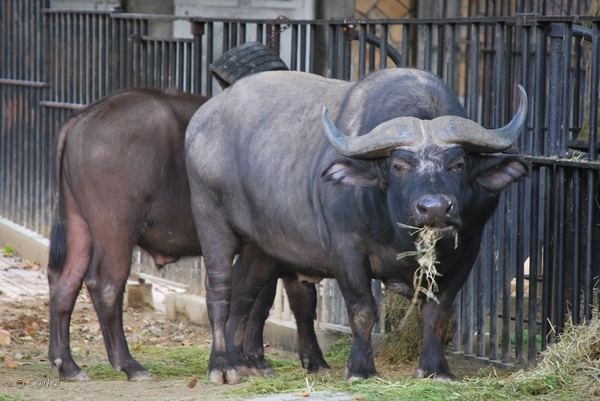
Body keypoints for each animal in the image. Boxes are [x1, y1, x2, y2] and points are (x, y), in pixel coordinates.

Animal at [47, 87, 328, 382]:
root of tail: (84, 117)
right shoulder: (259, 251)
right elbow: (257, 301)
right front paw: (251, 360)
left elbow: (302, 302)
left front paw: (313, 359)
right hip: (116, 228)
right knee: (106, 284)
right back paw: (128, 364)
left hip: (79, 224)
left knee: (65, 280)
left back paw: (67, 364)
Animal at [185, 67, 528, 382]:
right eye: (399, 165)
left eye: (457, 164)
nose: (435, 208)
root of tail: (200, 123)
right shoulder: (346, 248)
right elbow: (363, 310)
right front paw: (361, 369)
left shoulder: (468, 249)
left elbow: (439, 312)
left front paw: (436, 369)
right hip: (211, 221)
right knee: (220, 292)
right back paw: (221, 366)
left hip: (262, 247)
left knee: (247, 295)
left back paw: (247, 362)